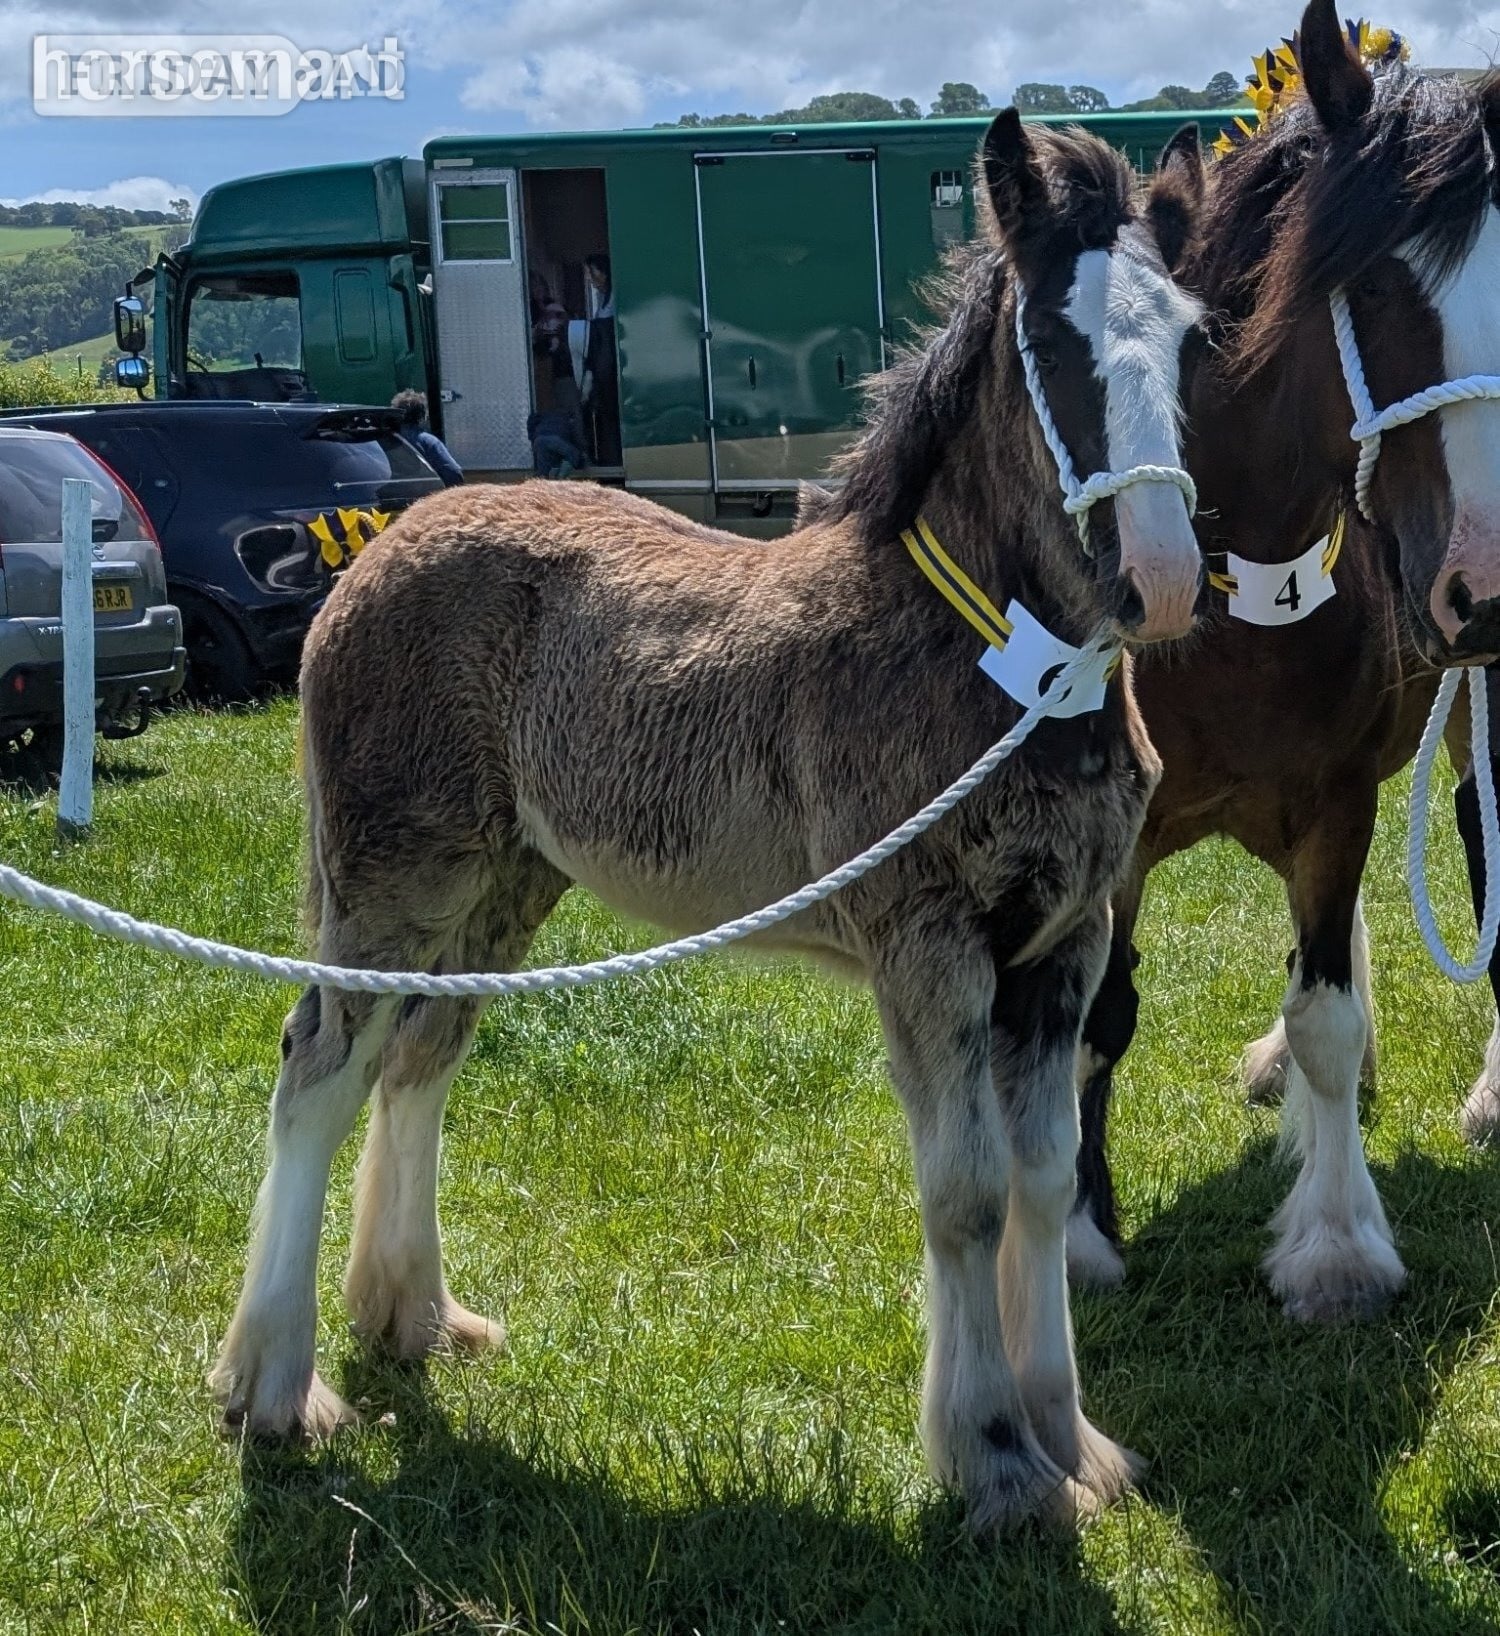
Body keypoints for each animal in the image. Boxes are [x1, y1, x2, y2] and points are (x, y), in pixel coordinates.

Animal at [209, 113, 1207, 1532]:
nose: (1162, 578)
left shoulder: (1056, 949)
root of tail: (380, 544)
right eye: (1056, 345)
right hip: (391, 876)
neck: (1003, 671)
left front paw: (1073, 1442)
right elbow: (964, 1193)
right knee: (320, 1067)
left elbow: (1043, 1181)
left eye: (1192, 339)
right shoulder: (928, 948)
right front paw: (996, 1461)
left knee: (420, 1057)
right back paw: (277, 1386)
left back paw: (415, 1318)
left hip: (504, 885)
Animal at [1066, 0, 1500, 1322]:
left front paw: (1337, 1243)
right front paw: (1078, 1232)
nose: (1485, 583)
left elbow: (1330, 1020)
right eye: (1371, 284)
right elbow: (1099, 1018)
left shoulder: (1340, 798)